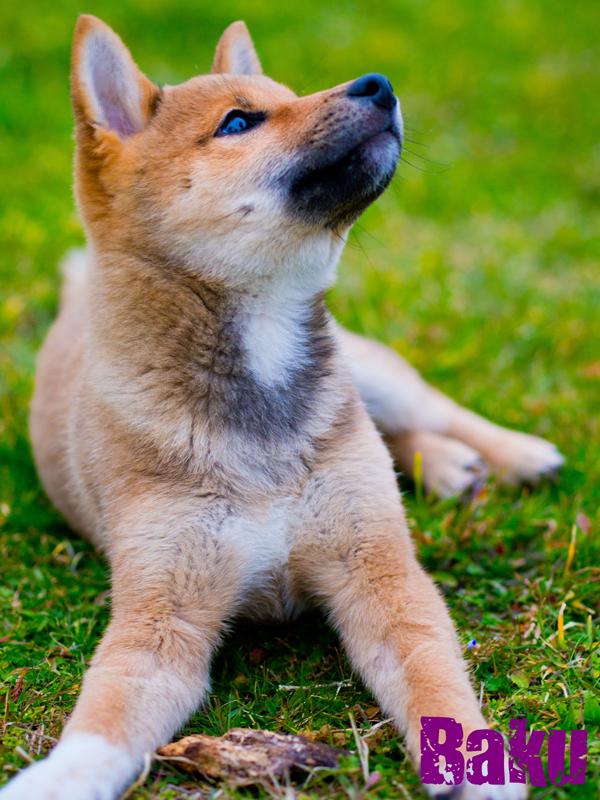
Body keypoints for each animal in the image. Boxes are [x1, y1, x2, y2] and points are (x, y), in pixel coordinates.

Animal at [1, 12, 564, 800]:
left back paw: (508, 452)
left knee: (424, 408)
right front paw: (57, 777)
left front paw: (475, 768)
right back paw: (454, 468)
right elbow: (102, 721)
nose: (378, 84)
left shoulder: (381, 577)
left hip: (368, 371)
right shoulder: (164, 619)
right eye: (238, 121)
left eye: (288, 95)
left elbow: (434, 684)